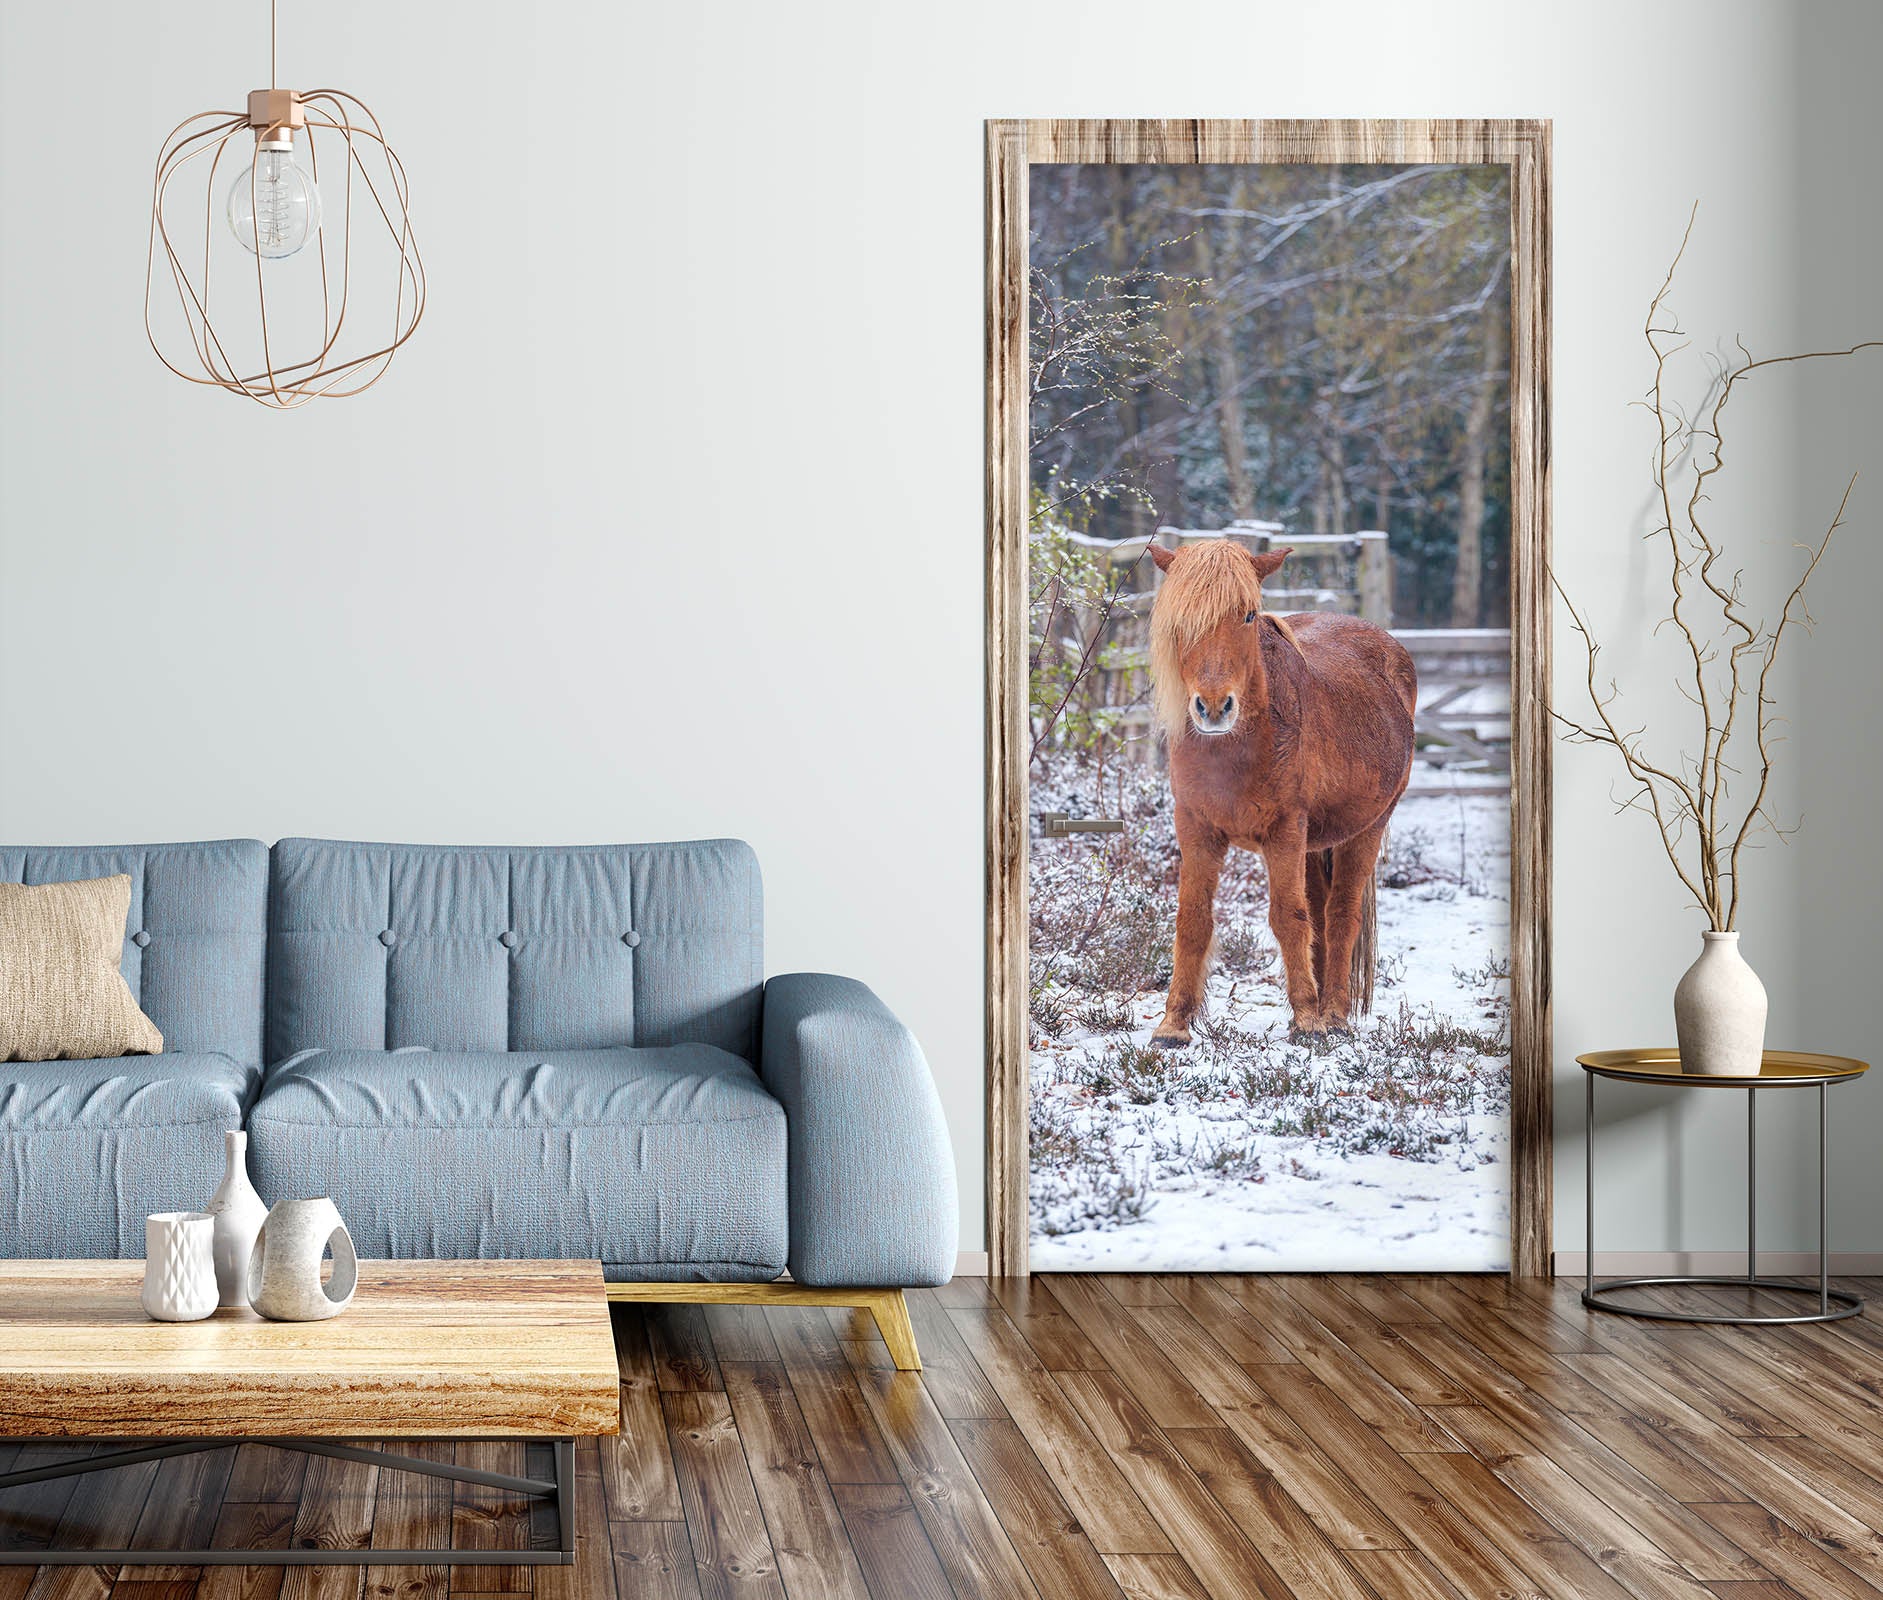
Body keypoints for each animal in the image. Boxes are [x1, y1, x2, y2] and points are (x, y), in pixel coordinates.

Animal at [1144, 539, 1417, 1045]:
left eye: (1249, 615)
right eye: (1180, 618)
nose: (1214, 707)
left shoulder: (1284, 831)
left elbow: (1288, 918)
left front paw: (1308, 1021)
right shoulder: (1195, 828)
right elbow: (1193, 920)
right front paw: (1173, 1025)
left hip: (1366, 829)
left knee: (1339, 916)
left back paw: (1333, 1015)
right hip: (1313, 845)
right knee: (1321, 914)